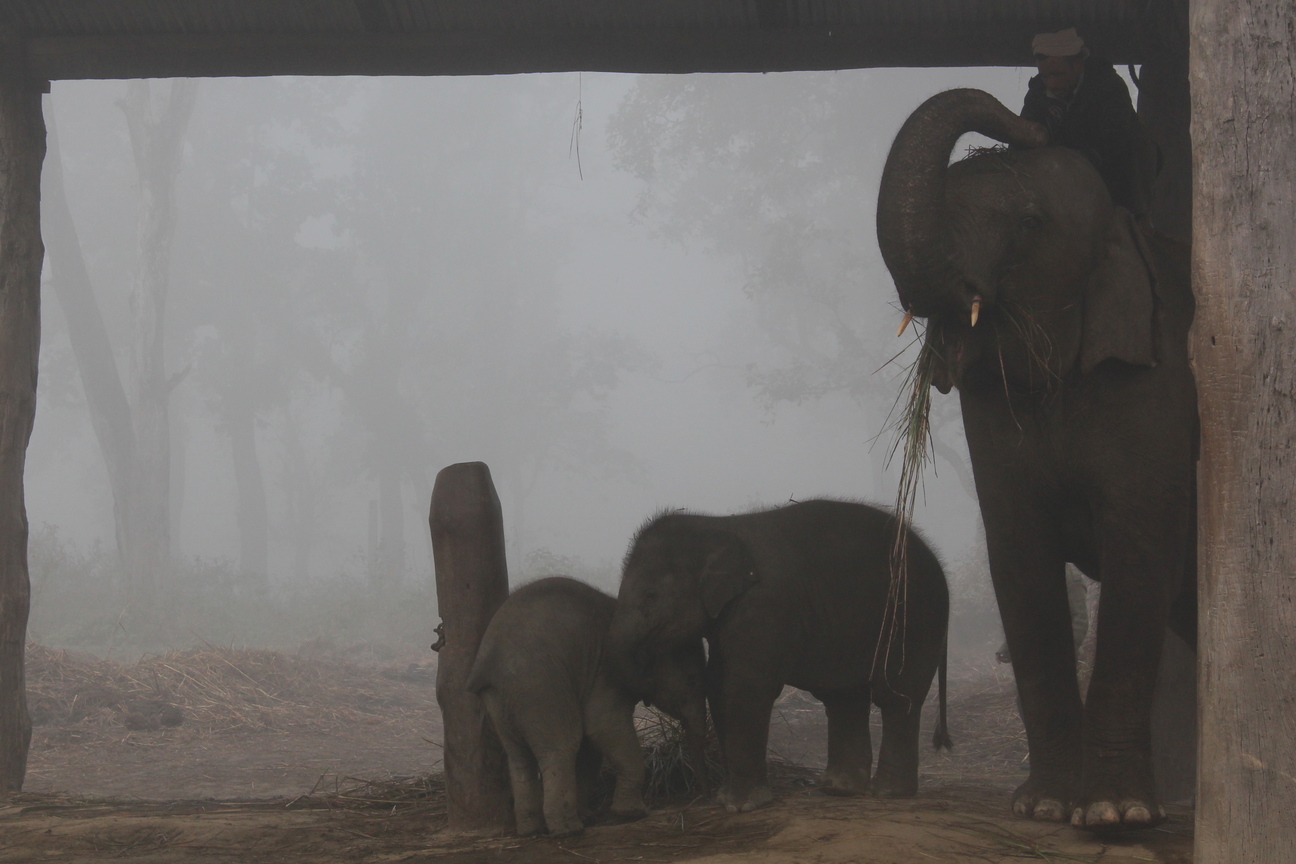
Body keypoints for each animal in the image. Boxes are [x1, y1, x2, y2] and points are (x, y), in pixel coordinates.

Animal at [469, 577, 705, 834]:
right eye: (693, 680)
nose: (699, 789)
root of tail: (488, 662)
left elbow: (590, 746)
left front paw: (590, 816)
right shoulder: (605, 673)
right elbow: (601, 727)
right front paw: (633, 814)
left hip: (499, 698)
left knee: (518, 757)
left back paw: (531, 830)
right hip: (538, 686)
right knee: (561, 746)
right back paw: (568, 829)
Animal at [606, 500, 953, 813]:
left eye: (650, 596)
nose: (703, 797)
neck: (715, 525)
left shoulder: (763, 606)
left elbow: (743, 687)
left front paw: (742, 806)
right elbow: (719, 686)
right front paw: (727, 799)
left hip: (913, 617)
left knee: (896, 695)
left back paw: (888, 793)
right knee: (844, 697)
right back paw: (839, 789)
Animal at [876, 88, 1197, 829]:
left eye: (1026, 222)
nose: (1034, 121)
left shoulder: (1158, 385)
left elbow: (1139, 553)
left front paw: (1115, 814)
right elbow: (1019, 555)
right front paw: (1045, 806)